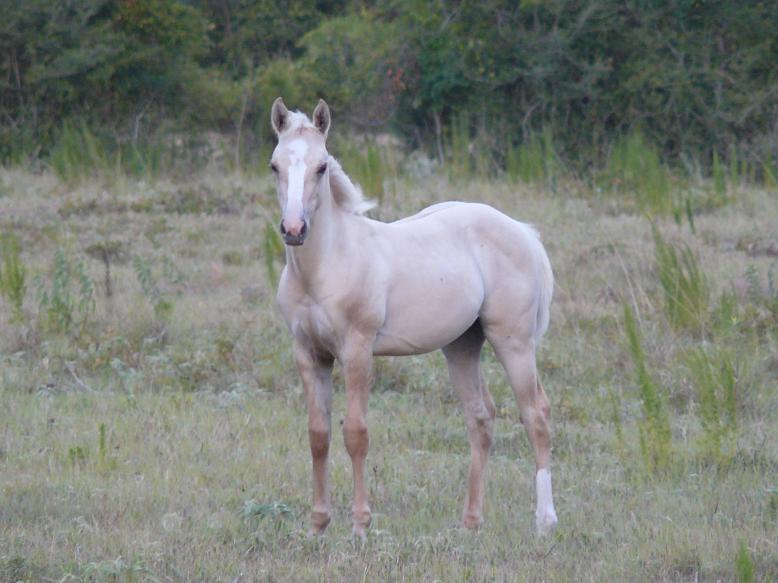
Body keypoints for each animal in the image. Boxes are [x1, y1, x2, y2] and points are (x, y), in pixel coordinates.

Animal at [270, 97, 558, 538]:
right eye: (275, 166)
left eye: (321, 166)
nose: (294, 228)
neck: (326, 265)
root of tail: (522, 231)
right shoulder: (308, 353)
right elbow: (318, 435)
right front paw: (318, 525)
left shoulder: (357, 350)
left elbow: (356, 433)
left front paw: (360, 525)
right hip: (462, 346)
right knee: (481, 418)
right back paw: (470, 522)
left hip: (514, 342)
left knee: (535, 414)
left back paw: (545, 520)